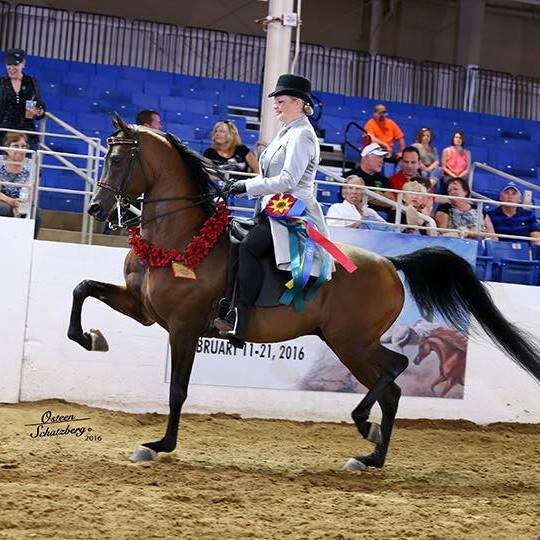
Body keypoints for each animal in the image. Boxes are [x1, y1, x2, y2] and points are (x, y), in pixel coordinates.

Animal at [68, 115, 540, 470]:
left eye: (118, 158)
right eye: (105, 156)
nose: (96, 209)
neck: (180, 239)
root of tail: (390, 264)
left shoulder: (183, 327)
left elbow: (178, 391)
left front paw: (159, 445)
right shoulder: (144, 309)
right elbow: (82, 288)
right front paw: (91, 338)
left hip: (351, 341)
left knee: (397, 369)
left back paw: (365, 428)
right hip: (348, 342)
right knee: (392, 387)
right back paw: (370, 456)